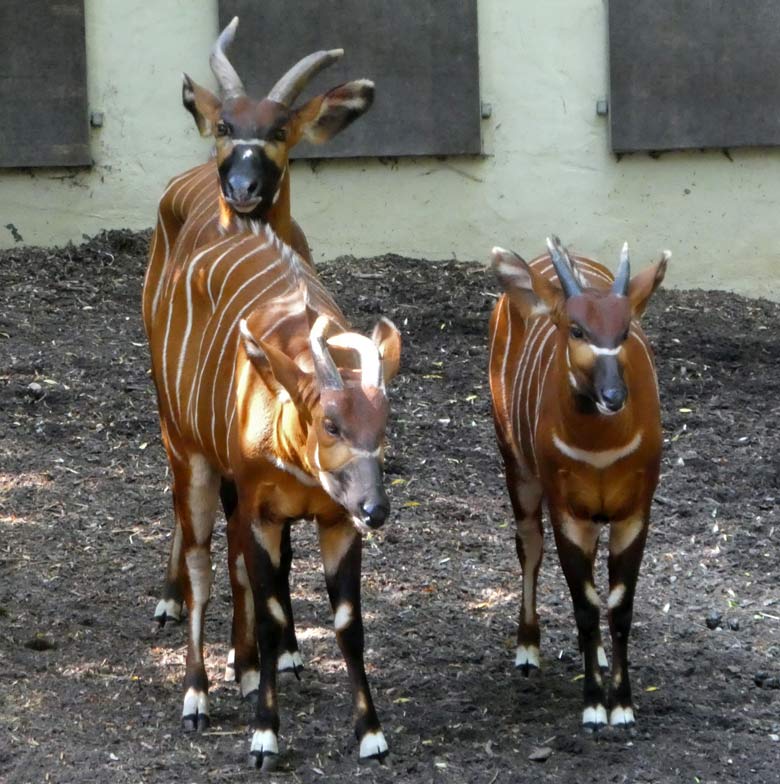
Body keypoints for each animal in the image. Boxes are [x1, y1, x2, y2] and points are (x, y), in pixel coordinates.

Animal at [146, 15, 378, 664]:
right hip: (170, 407)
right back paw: (172, 598)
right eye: (226, 126)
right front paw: (246, 653)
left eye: (278, 130)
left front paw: (287, 648)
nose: (243, 186)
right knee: (187, 502)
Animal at [490, 236, 668, 732]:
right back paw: (528, 649)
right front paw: (593, 706)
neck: (600, 447)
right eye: (577, 330)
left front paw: (622, 706)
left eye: (624, 331)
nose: (613, 396)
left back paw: (602, 660)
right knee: (529, 545)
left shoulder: (634, 513)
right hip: (518, 467)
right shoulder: (567, 512)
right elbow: (585, 606)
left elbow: (619, 606)